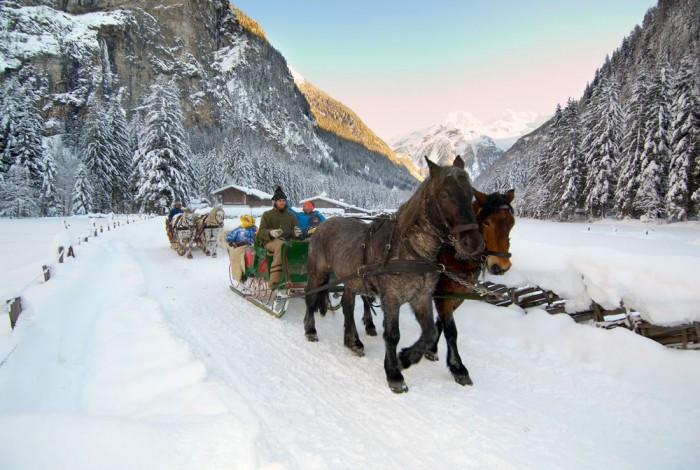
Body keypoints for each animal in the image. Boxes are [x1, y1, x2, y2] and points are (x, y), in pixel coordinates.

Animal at [304, 157, 484, 392]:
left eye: (471, 193)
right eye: (444, 194)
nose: (473, 243)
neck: (411, 250)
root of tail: (325, 223)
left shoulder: (422, 298)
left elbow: (430, 333)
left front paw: (406, 358)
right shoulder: (391, 298)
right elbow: (392, 335)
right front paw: (394, 374)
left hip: (352, 280)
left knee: (347, 306)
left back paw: (353, 342)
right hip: (318, 272)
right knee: (310, 298)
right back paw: (310, 330)